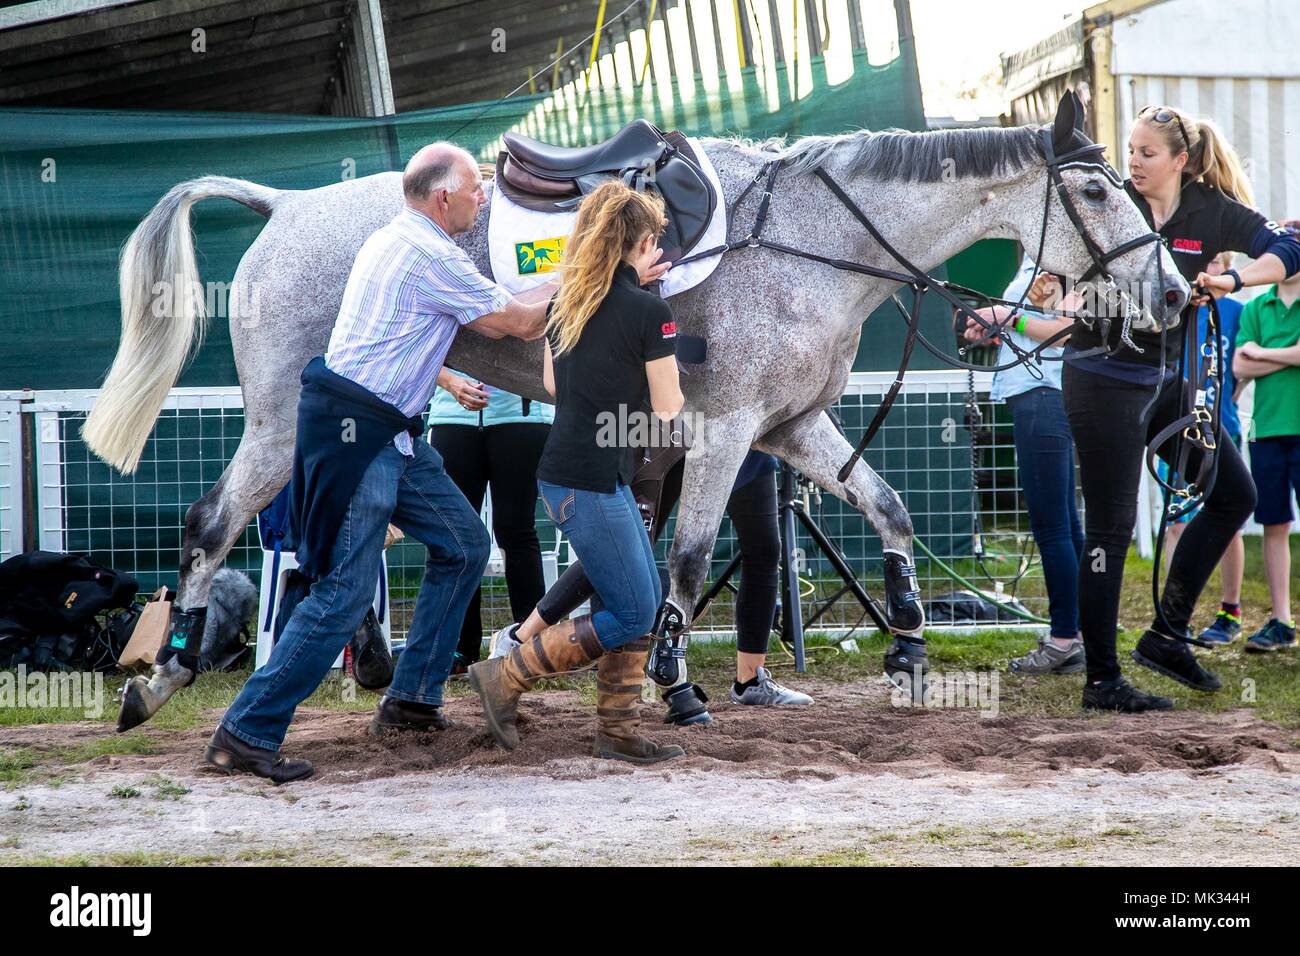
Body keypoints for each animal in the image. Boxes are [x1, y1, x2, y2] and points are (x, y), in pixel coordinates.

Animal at [83, 93, 1190, 728]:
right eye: (1096, 189)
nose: (1177, 296)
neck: (814, 240)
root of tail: (286, 205)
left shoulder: (794, 428)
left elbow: (889, 508)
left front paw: (911, 639)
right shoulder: (727, 431)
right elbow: (691, 558)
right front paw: (674, 678)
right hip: (286, 421)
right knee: (214, 525)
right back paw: (164, 675)